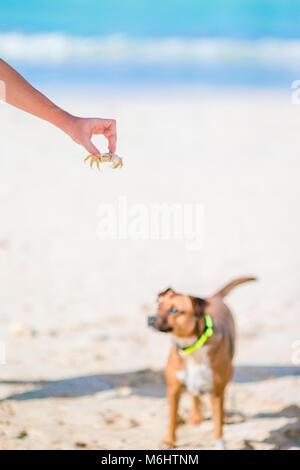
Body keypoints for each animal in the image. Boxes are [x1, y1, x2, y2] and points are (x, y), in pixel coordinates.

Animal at [148, 278, 255, 450]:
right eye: (159, 306)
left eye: (174, 310)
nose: (150, 319)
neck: (191, 347)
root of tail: (214, 298)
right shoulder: (173, 390)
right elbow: (172, 420)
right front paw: (168, 441)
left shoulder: (216, 392)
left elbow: (218, 426)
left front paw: (220, 445)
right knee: (194, 394)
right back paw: (196, 417)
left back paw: (223, 416)